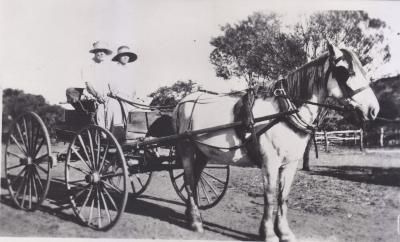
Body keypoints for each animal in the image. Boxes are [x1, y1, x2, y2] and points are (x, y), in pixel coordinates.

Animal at [171, 42, 378, 241]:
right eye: (345, 71)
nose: (373, 110)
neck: (283, 111)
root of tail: (182, 102)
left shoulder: (291, 163)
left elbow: (283, 196)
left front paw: (284, 232)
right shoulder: (270, 162)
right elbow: (270, 196)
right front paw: (268, 233)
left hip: (203, 152)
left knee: (195, 178)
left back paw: (191, 215)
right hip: (186, 148)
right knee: (189, 181)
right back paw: (196, 221)